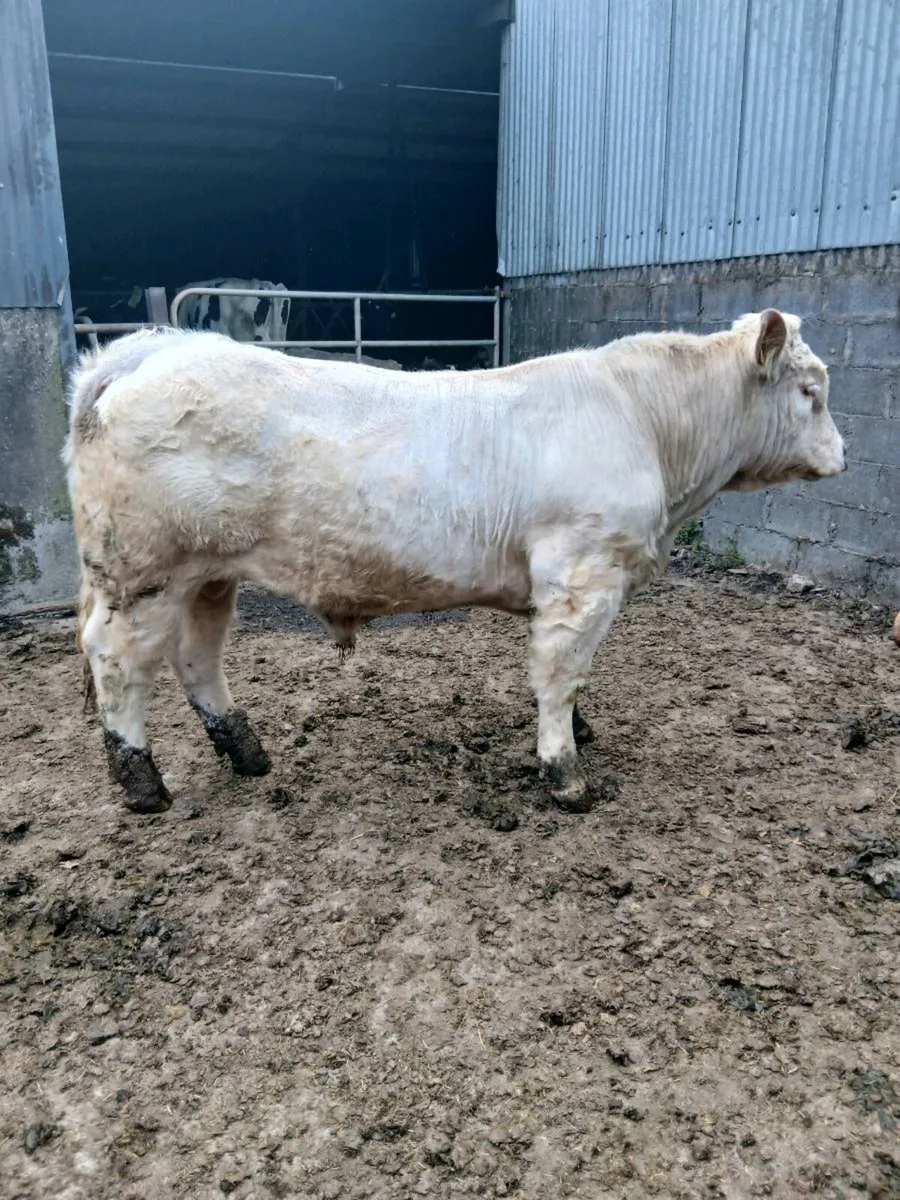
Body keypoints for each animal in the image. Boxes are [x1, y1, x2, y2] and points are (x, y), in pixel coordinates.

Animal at [65, 310, 845, 815]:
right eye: (810, 392)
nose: (843, 454)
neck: (646, 423)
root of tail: (152, 351)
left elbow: (565, 672)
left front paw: (576, 732)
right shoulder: (583, 570)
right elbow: (562, 670)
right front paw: (565, 771)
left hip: (208, 572)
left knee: (196, 656)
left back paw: (247, 751)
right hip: (143, 571)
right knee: (116, 660)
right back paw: (141, 783)